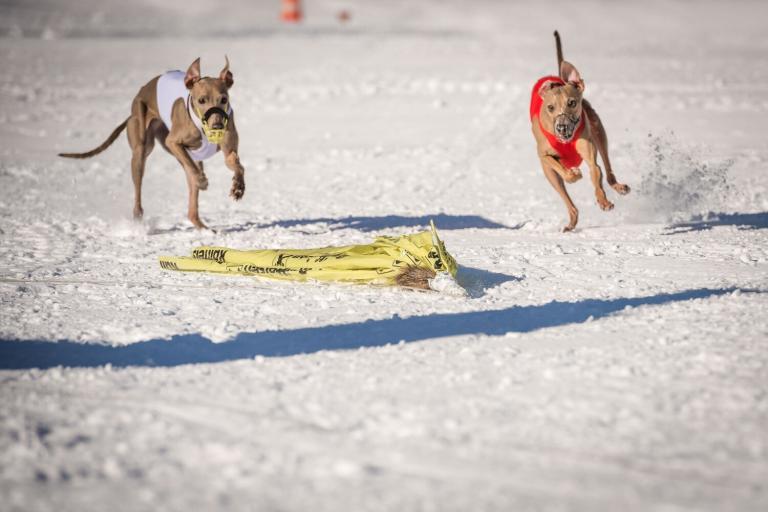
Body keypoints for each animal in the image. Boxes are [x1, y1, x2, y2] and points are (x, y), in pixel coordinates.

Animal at [60, 56, 246, 230]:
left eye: (224, 99)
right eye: (201, 100)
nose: (217, 126)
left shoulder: (227, 148)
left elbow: (235, 163)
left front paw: (238, 187)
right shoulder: (173, 142)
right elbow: (193, 169)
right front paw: (203, 181)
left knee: (191, 203)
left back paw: (204, 228)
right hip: (141, 148)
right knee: (141, 189)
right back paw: (138, 218)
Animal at [528, 32, 632, 232]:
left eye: (572, 103)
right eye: (550, 107)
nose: (562, 127)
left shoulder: (591, 157)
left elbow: (596, 172)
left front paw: (603, 202)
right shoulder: (543, 156)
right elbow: (563, 170)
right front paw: (574, 174)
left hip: (598, 131)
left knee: (608, 171)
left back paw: (619, 187)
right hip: (550, 175)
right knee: (568, 200)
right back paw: (571, 222)